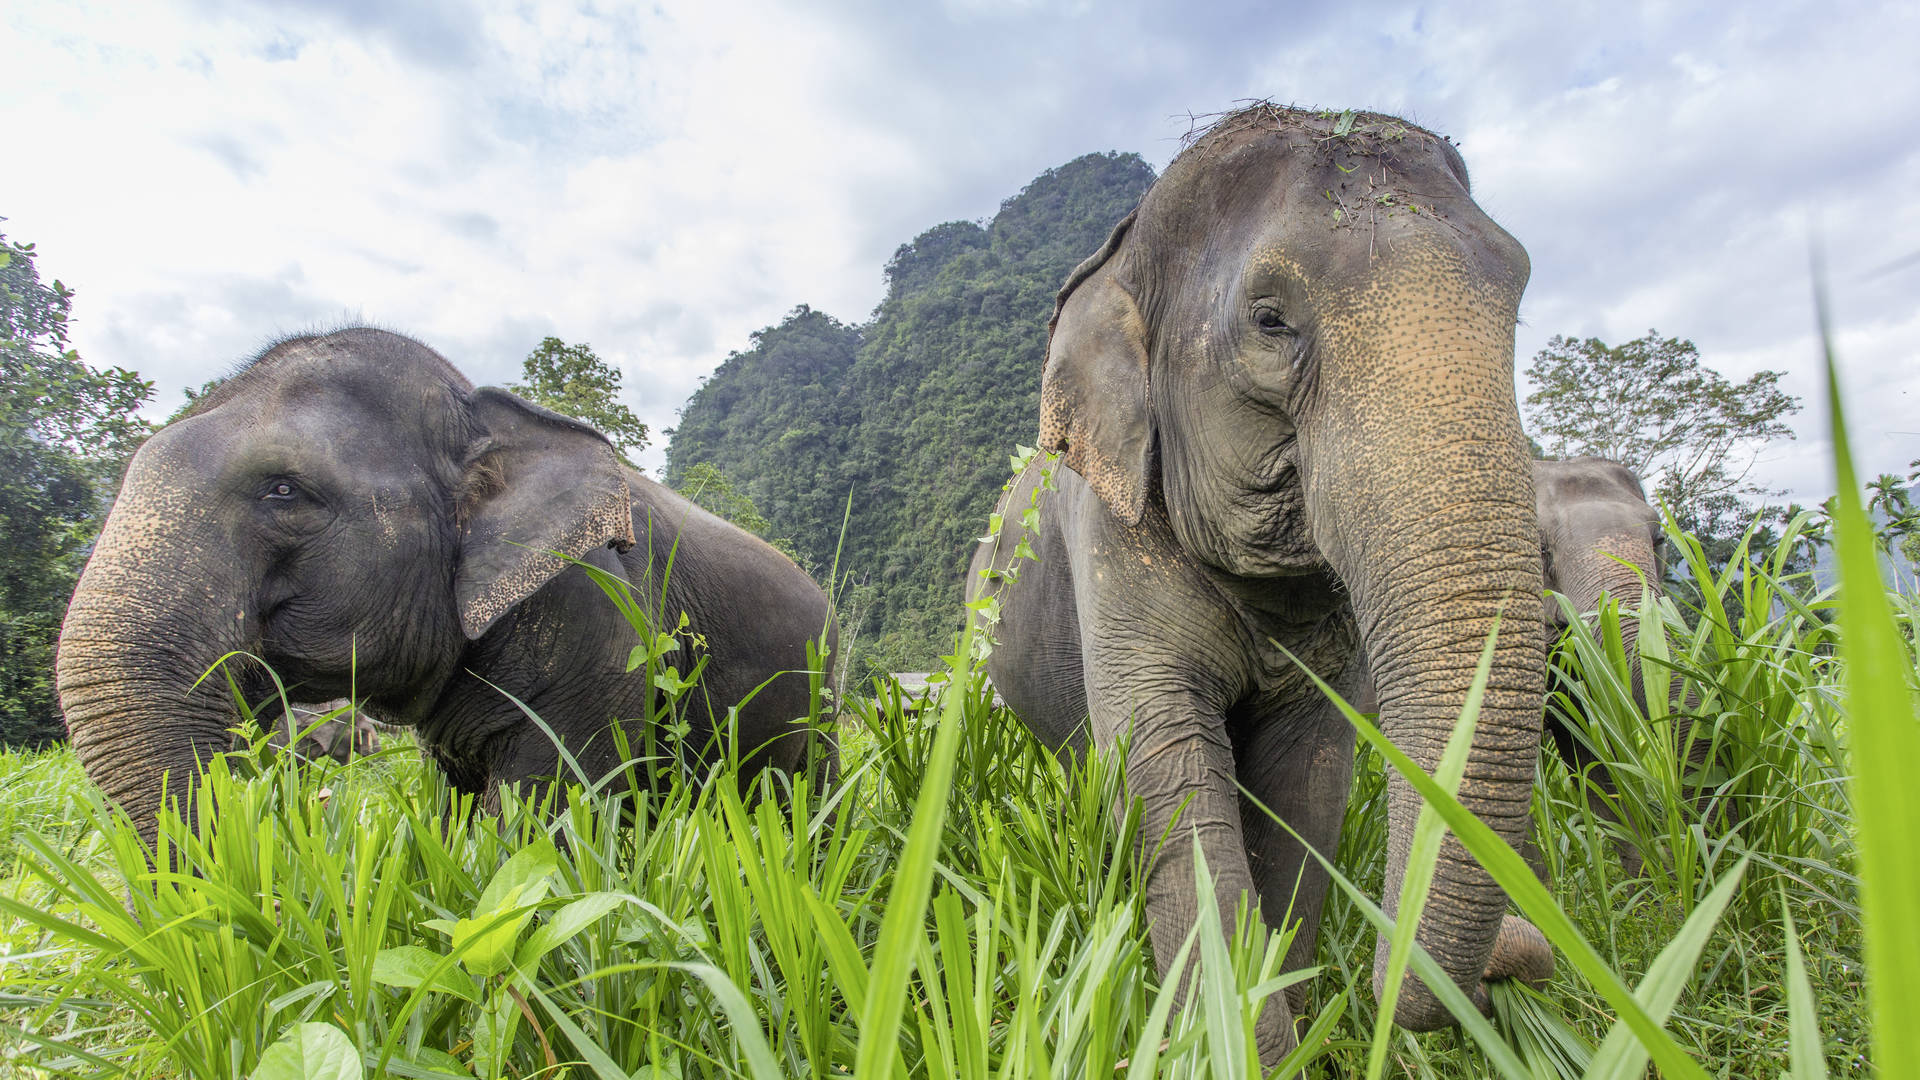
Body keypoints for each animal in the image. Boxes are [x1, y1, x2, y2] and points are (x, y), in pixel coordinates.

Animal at [967, 105, 1551, 1060]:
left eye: (1518, 299)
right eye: (1271, 320)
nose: (1518, 956)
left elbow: (1308, 780)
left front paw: (1287, 1014)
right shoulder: (1113, 535)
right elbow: (1165, 767)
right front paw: (1236, 1039)